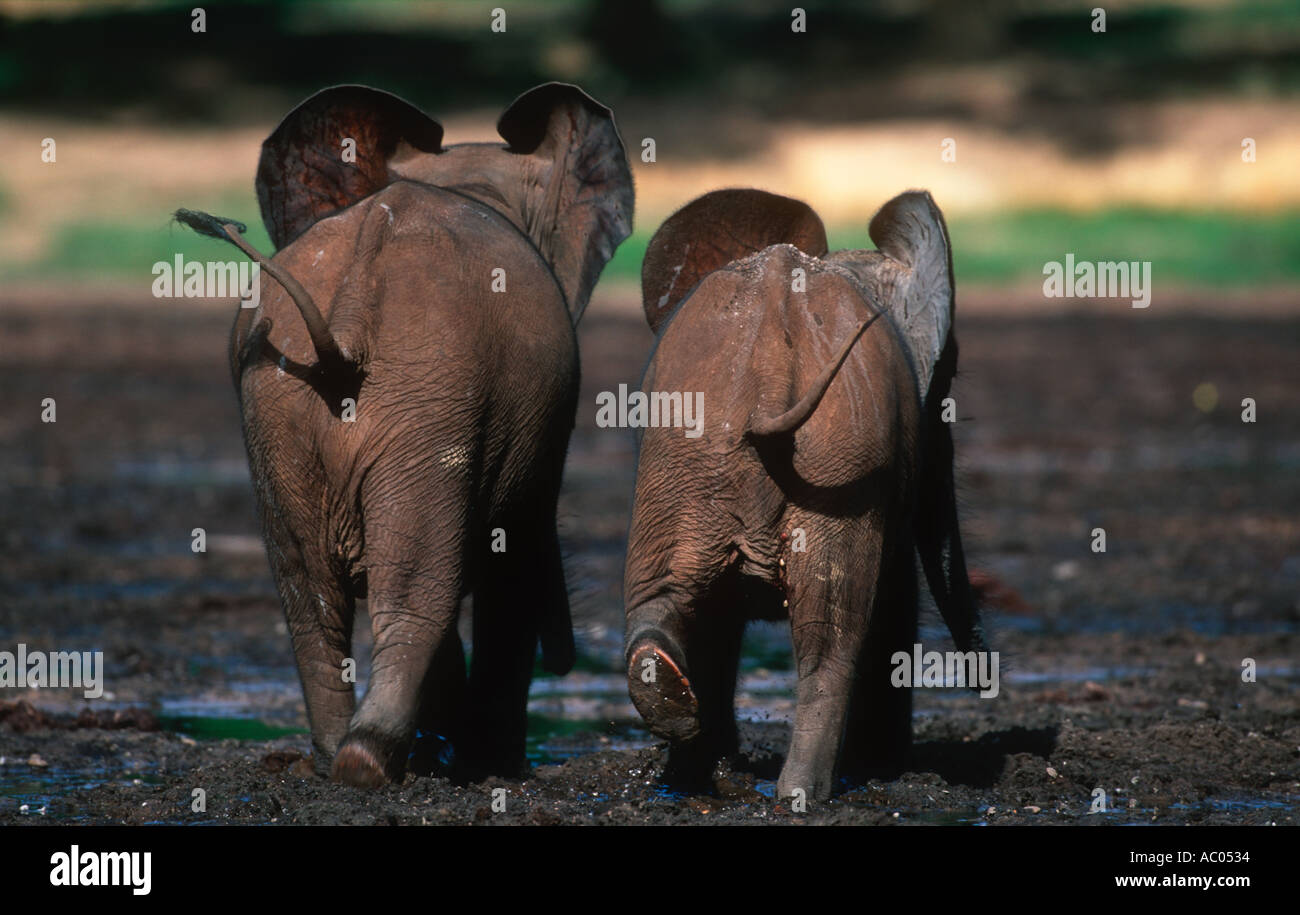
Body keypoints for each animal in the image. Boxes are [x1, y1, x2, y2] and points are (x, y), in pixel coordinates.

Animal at [176, 82, 633, 786]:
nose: (569, 656)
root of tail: (351, 307)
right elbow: (512, 560)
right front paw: (492, 763)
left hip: (286, 406)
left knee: (312, 595)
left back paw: (336, 758)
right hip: (426, 397)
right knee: (418, 590)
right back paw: (371, 760)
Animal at [622, 188, 986, 800]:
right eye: (950, 375)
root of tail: (771, 359)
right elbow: (891, 602)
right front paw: (881, 766)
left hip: (685, 463)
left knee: (665, 598)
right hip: (835, 468)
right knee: (831, 642)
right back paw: (802, 797)